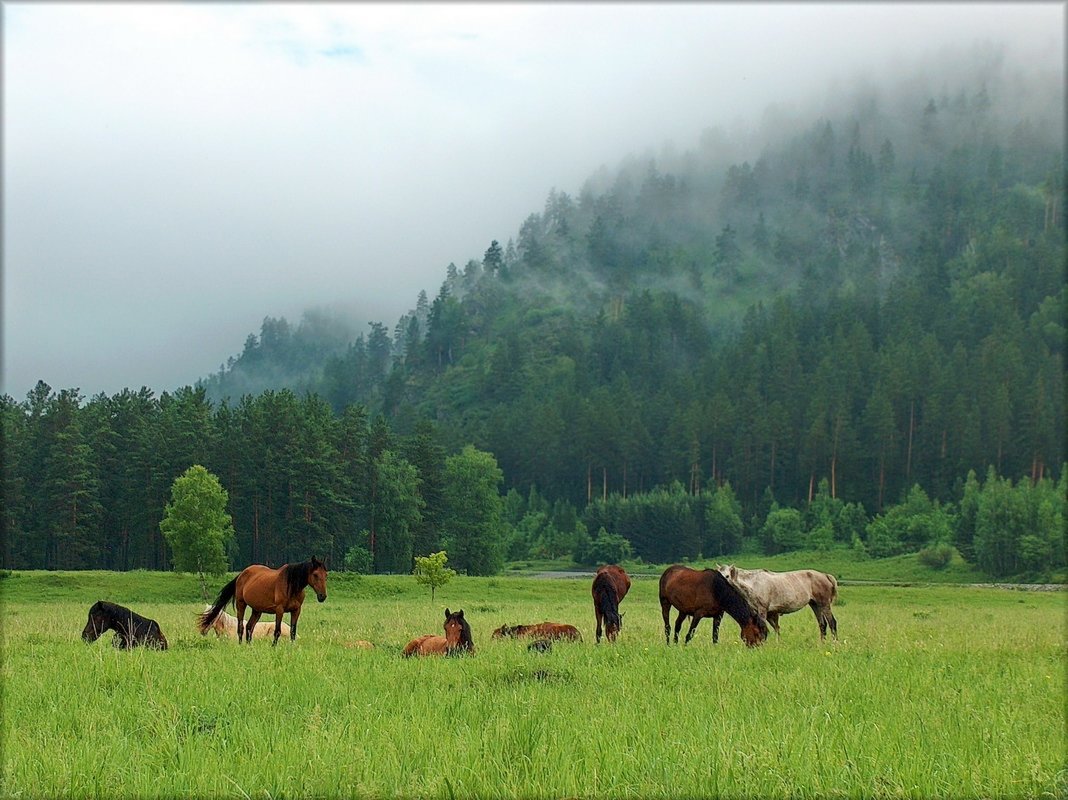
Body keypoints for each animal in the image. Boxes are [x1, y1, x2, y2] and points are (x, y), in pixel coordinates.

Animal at [198, 559, 326, 645]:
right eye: (315, 574)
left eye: (326, 574)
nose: (322, 596)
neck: (291, 586)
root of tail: (241, 574)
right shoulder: (279, 610)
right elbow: (277, 631)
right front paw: (274, 646)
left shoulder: (296, 610)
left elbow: (293, 631)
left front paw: (292, 646)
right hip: (241, 604)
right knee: (241, 627)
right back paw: (241, 644)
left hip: (257, 610)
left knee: (249, 627)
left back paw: (249, 645)